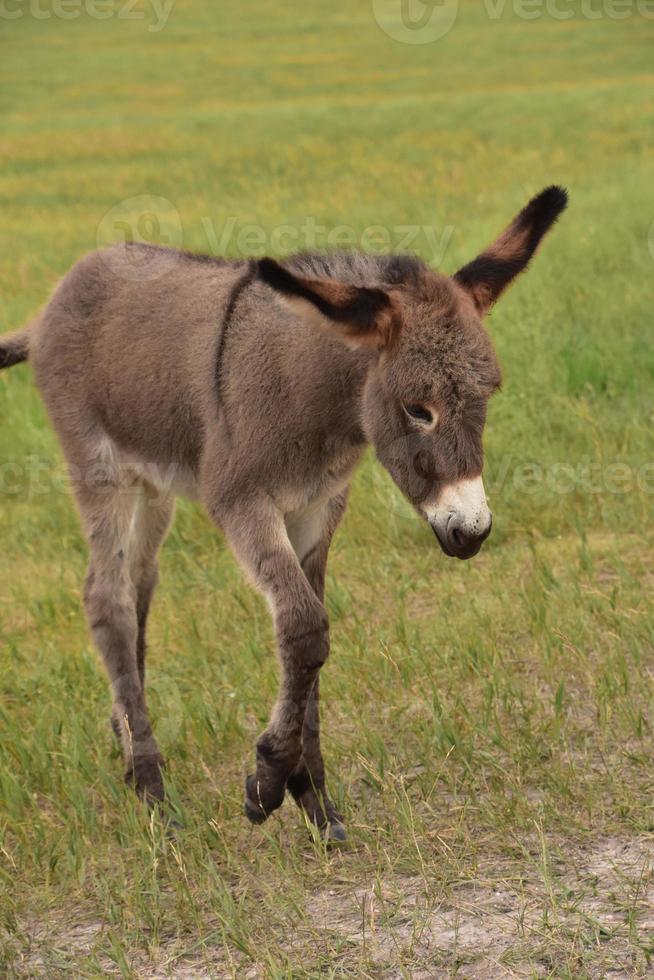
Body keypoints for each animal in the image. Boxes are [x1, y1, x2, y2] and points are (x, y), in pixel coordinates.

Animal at [0, 186, 568, 844]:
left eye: (488, 397)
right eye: (416, 409)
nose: (471, 532)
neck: (316, 402)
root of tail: (52, 303)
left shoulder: (319, 508)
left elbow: (312, 641)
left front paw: (315, 800)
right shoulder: (241, 501)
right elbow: (303, 626)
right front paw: (268, 782)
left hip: (153, 484)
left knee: (138, 586)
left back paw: (128, 747)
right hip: (100, 470)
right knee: (105, 596)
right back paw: (154, 793)